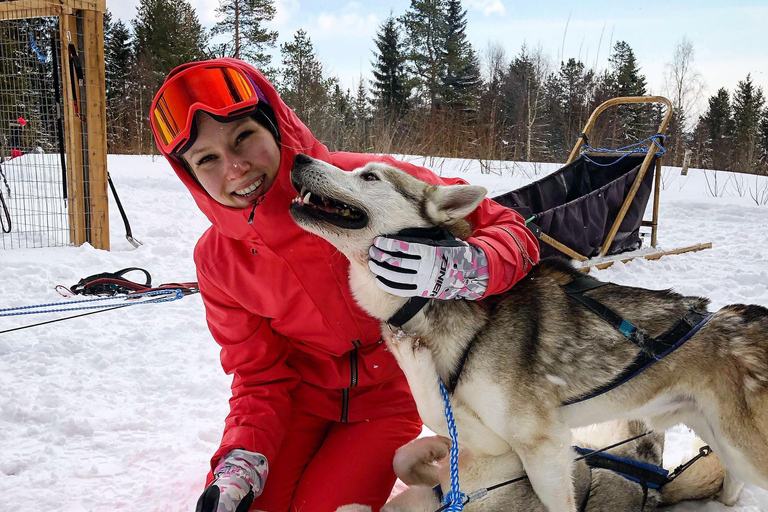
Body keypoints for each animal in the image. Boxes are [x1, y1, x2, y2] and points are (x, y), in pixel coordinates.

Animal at [286, 156, 768, 512]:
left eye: (369, 175)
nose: (300, 157)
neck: (426, 303)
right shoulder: (493, 439)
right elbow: (426, 422)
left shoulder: (538, 446)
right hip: (717, 437)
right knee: (729, 481)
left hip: (745, 446)